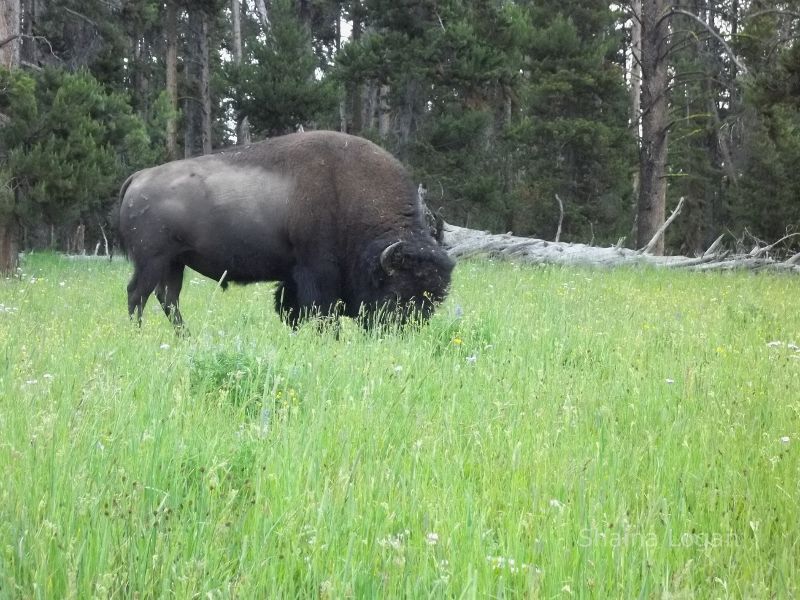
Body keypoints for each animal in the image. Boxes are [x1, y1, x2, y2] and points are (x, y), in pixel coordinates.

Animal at [118, 129, 456, 332]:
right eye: (397, 293)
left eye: (435, 299)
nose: (401, 332)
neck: (348, 192)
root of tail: (138, 177)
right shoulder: (316, 271)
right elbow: (321, 310)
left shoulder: (294, 275)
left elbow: (290, 308)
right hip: (153, 261)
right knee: (138, 294)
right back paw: (139, 334)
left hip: (174, 263)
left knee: (168, 298)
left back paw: (184, 336)